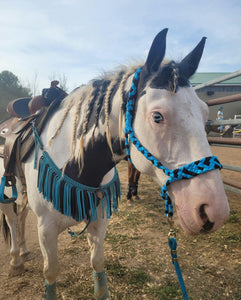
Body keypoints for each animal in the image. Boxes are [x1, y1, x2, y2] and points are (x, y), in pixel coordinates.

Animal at [0, 28, 230, 300]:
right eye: (157, 116)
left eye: (205, 114)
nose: (214, 210)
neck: (79, 165)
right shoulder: (46, 228)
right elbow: (51, 273)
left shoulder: (99, 221)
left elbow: (98, 264)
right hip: (6, 196)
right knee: (12, 220)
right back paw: (16, 260)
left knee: (21, 217)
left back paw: (25, 251)